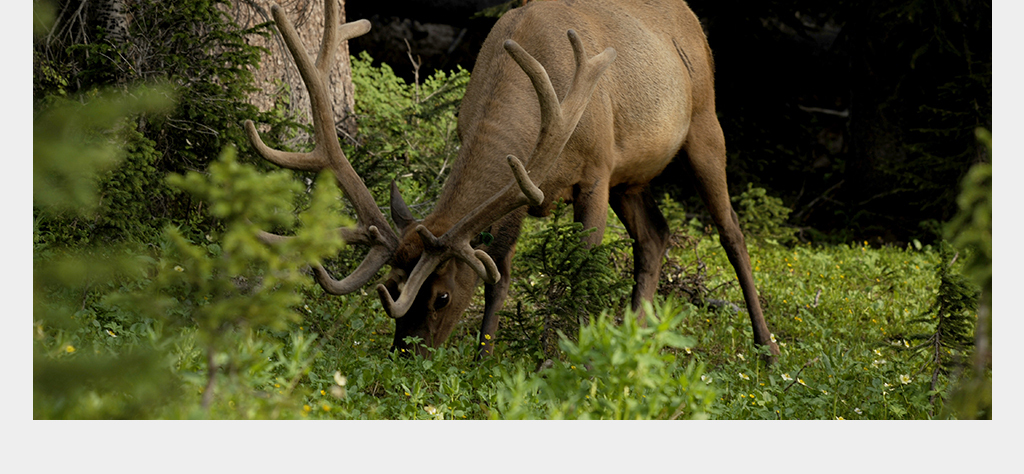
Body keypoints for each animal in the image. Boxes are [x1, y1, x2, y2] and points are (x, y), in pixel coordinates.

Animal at [243, 0, 778, 362]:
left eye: (440, 296)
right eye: (392, 287)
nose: (406, 354)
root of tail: (690, 15)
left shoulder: (597, 170)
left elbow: (578, 270)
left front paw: (556, 358)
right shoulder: (522, 188)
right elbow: (499, 271)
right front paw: (483, 357)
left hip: (704, 124)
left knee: (731, 232)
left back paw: (767, 347)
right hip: (633, 178)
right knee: (655, 237)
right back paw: (637, 339)